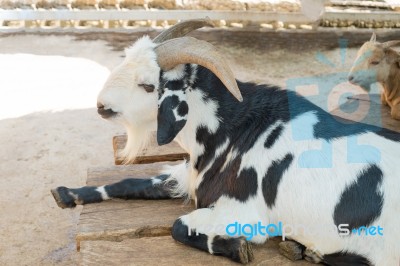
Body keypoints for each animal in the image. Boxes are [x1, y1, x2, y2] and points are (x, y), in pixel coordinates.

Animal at [52, 19, 400, 264]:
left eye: (148, 86)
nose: (101, 105)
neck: (234, 130)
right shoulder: (189, 176)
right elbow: (129, 182)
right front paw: (67, 193)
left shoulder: (244, 214)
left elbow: (179, 226)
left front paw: (234, 248)